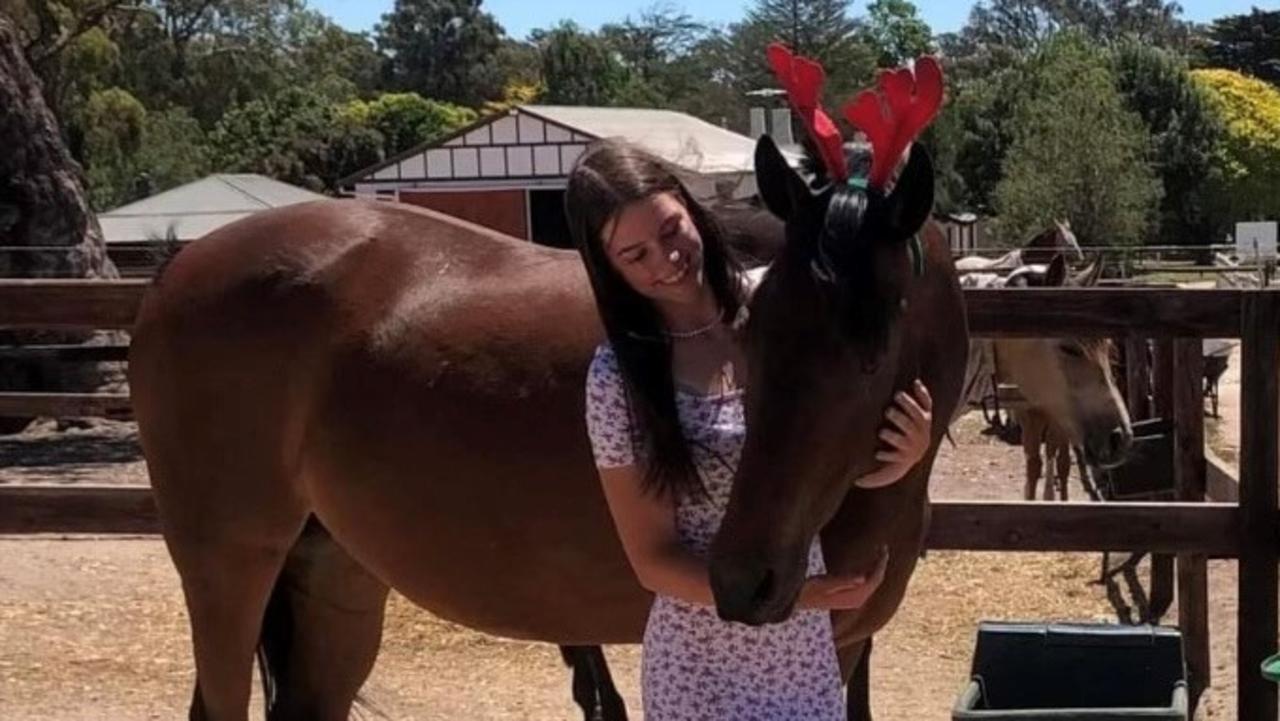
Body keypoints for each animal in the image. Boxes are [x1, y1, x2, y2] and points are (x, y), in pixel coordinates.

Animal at [132, 133, 967, 717]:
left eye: (870, 353)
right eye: (754, 335)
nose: (742, 578)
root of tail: (177, 270)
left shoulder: (848, 644)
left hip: (334, 576)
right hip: (229, 566)